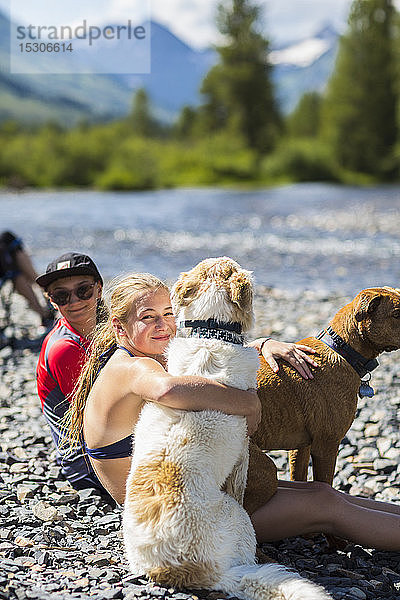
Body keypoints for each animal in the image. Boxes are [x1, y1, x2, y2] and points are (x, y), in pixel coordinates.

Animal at [248, 286, 400, 496]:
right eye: (397, 314)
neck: (343, 350)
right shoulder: (327, 446)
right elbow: (326, 483)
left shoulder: (301, 447)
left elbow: (299, 477)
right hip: (263, 471)